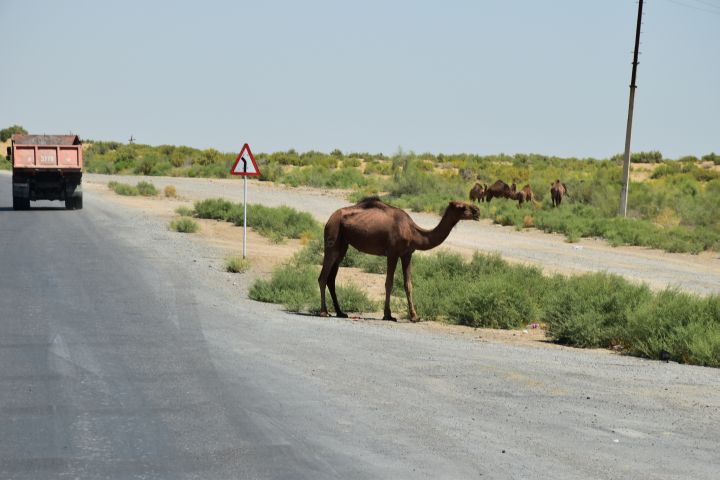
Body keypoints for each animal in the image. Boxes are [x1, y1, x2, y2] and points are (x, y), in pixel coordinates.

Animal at [320, 195, 478, 322]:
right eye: (461, 207)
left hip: (343, 244)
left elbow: (408, 284)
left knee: (331, 278)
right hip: (332, 236)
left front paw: (414, 316)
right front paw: (388, 315)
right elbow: (388, 283)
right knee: (323, 276)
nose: (477, 211)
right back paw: (324, 312)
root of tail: (330, 219)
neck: (414, 232)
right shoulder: (393, 253)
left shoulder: (407, 254)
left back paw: (340, 312)